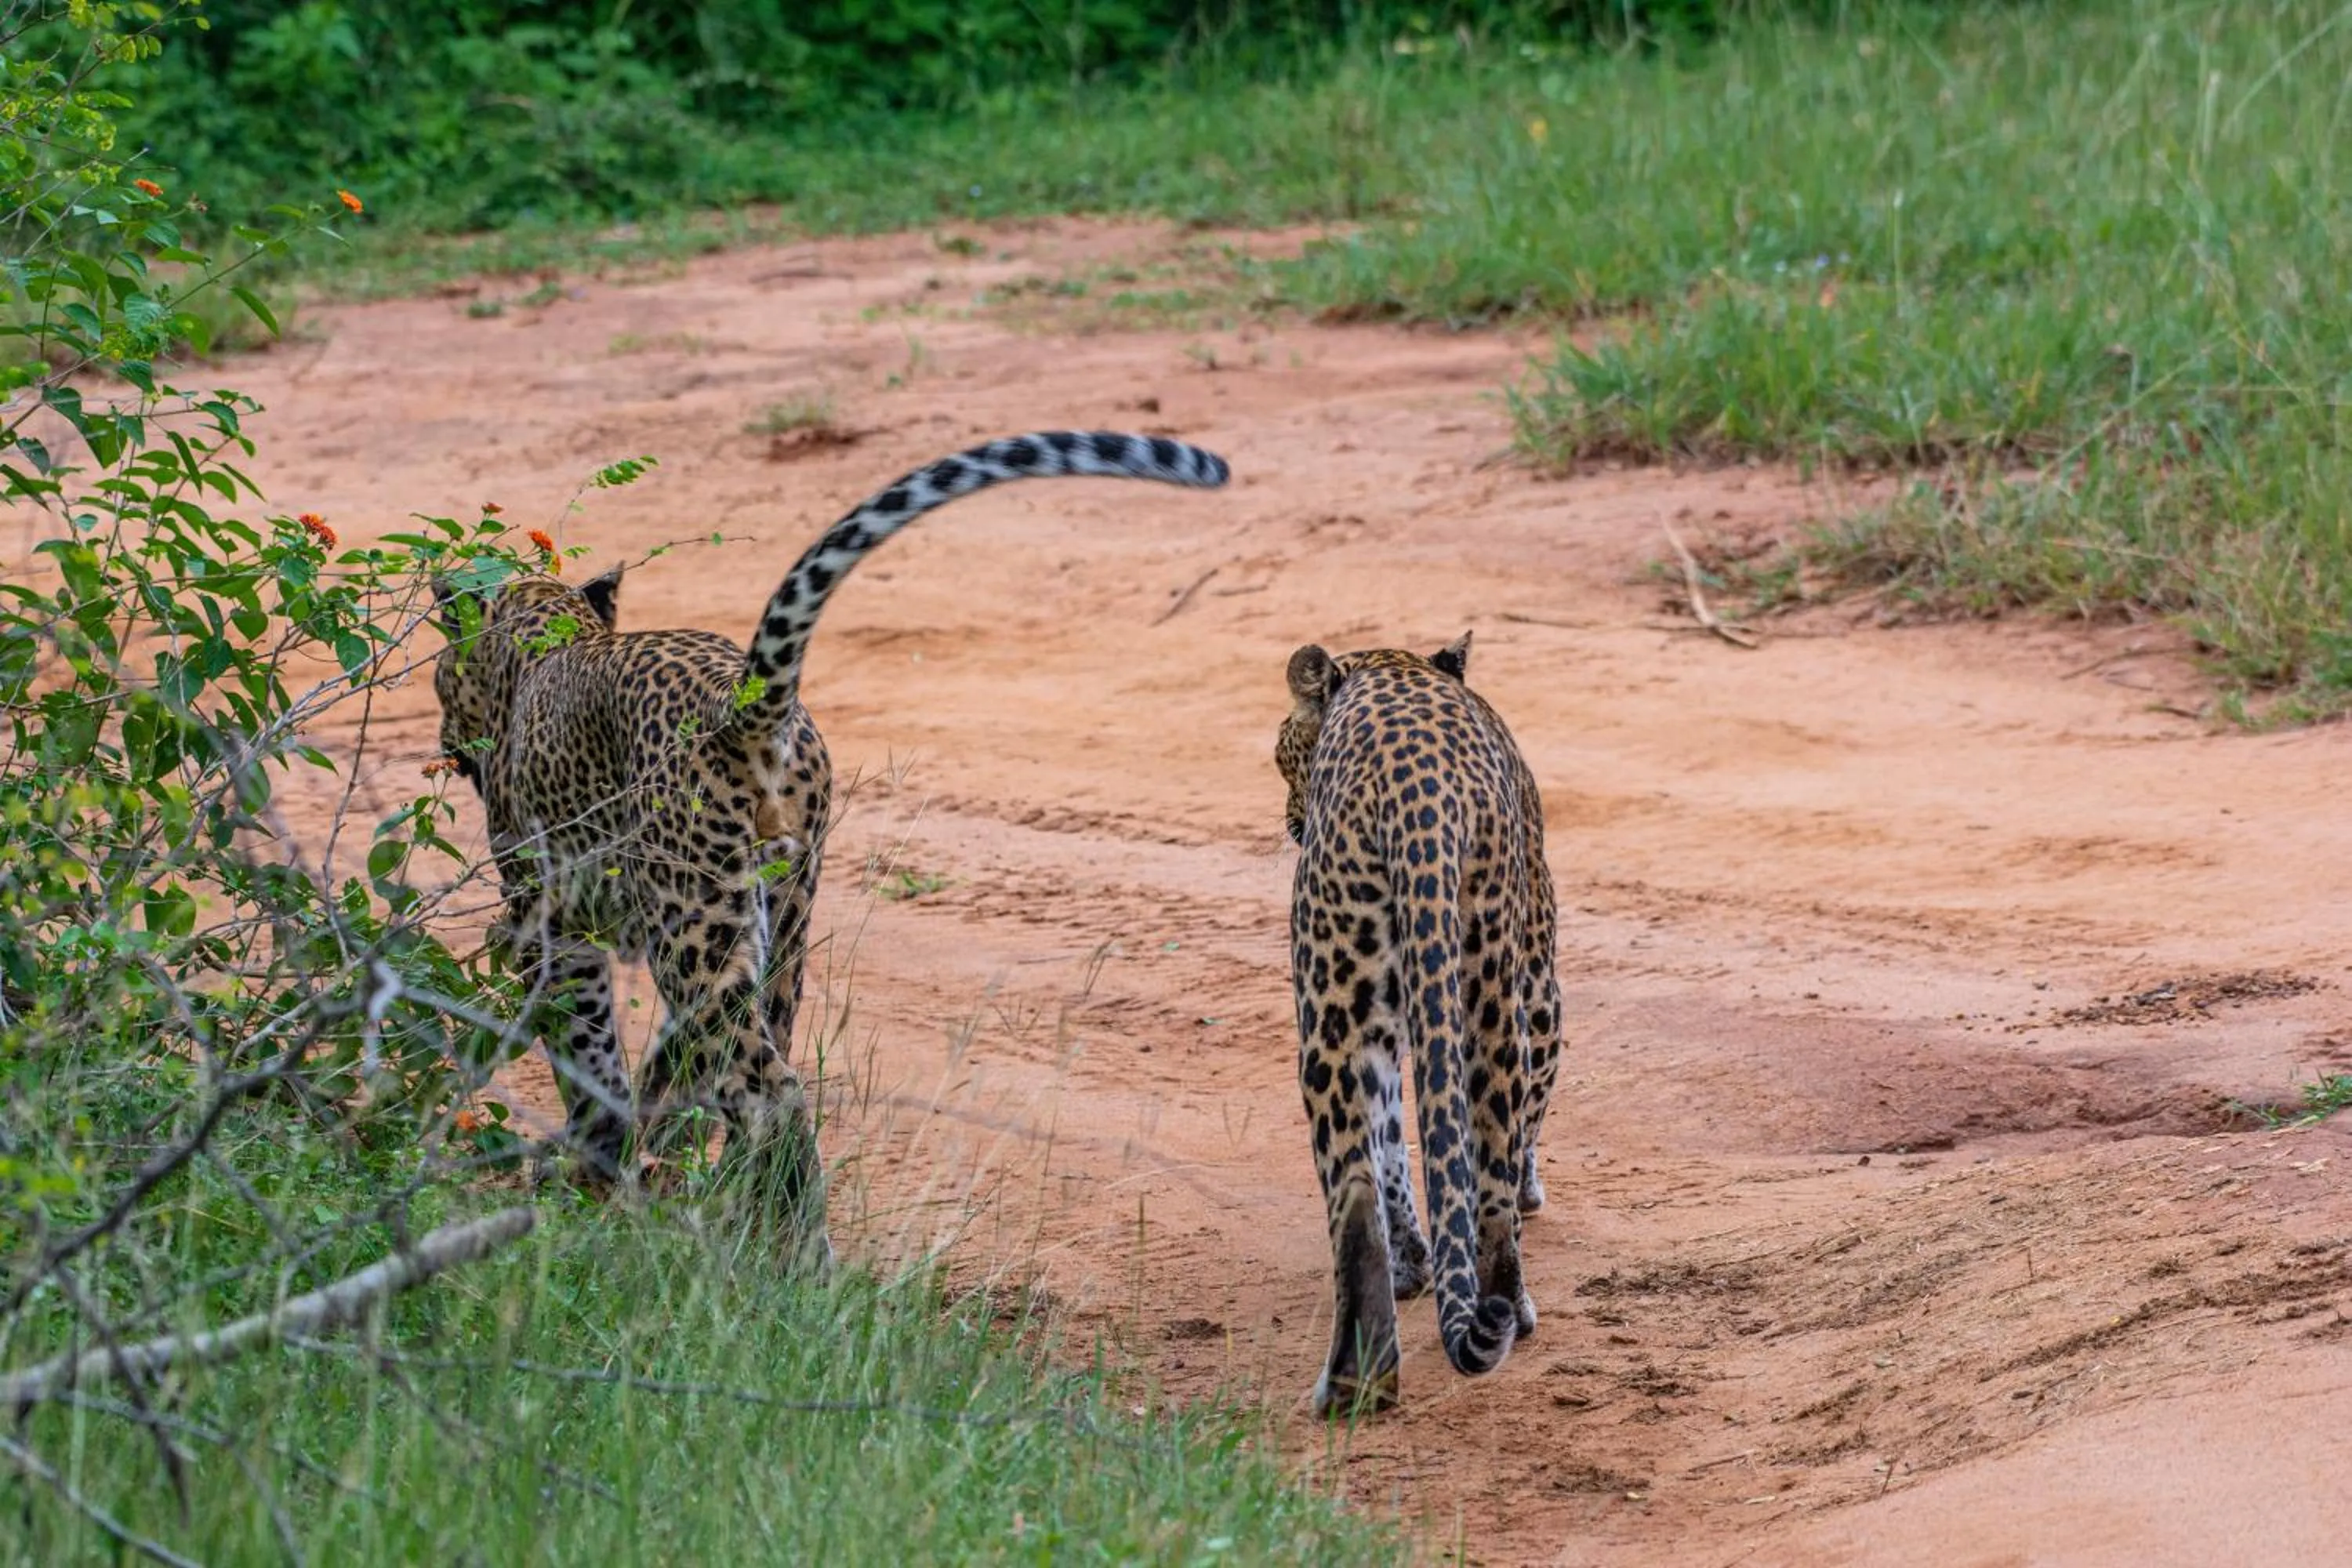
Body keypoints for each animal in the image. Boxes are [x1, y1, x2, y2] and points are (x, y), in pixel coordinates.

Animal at [432, 431, 1231, 1257]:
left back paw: (792, 1257)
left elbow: (586, 1048)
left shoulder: (548, 922)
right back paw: (750, 1221)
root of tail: (741, 706)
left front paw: (594, 1163)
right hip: (776, 912)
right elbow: (663, 1068)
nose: (449, 738)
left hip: (692, 919)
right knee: (766, 1062)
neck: (543, 640)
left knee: (768, 1088)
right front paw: (643, 1154)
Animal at [1274, 628, 1563, 1414]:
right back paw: (1506, 1309)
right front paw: (1531, 1193)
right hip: (1490, 986)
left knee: (1356, 1189)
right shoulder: (1542, 987)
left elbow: (1395, 1148)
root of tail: (1419, 796)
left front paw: (1418, 1263)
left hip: (1341, 1003)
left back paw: (1360, 1380)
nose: (1290, 819)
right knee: (1485, 1167)